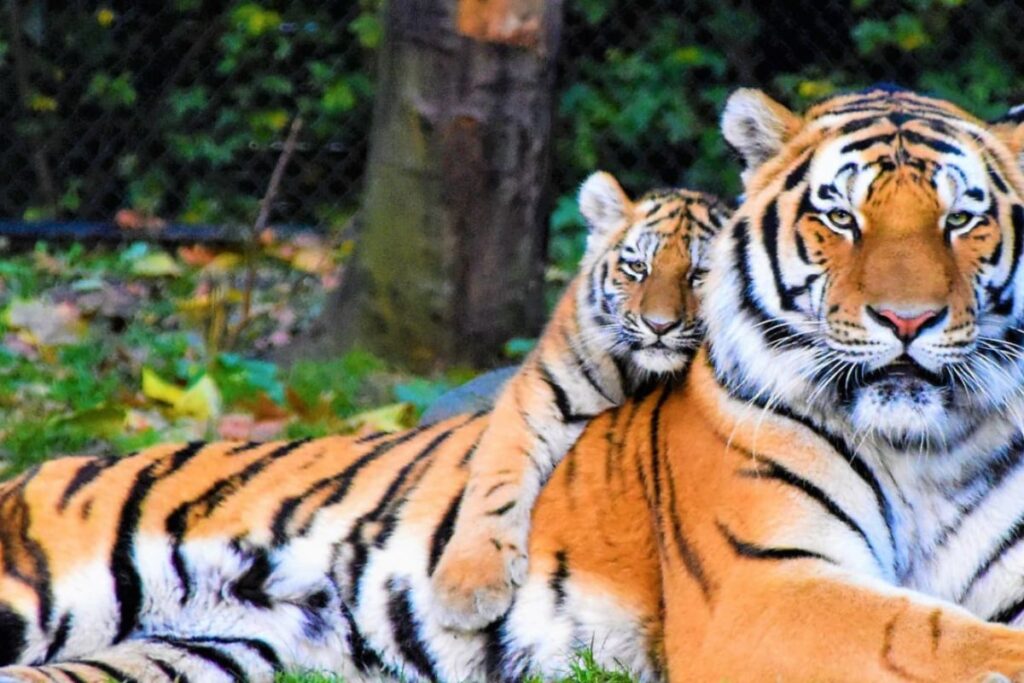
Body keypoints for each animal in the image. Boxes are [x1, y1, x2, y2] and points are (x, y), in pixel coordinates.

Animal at [430, 171, 729, 629]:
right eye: (638, 268)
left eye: (699, 274)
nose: (659, 326)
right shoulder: (536, 396)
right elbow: (496, 482)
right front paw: (468, 588)